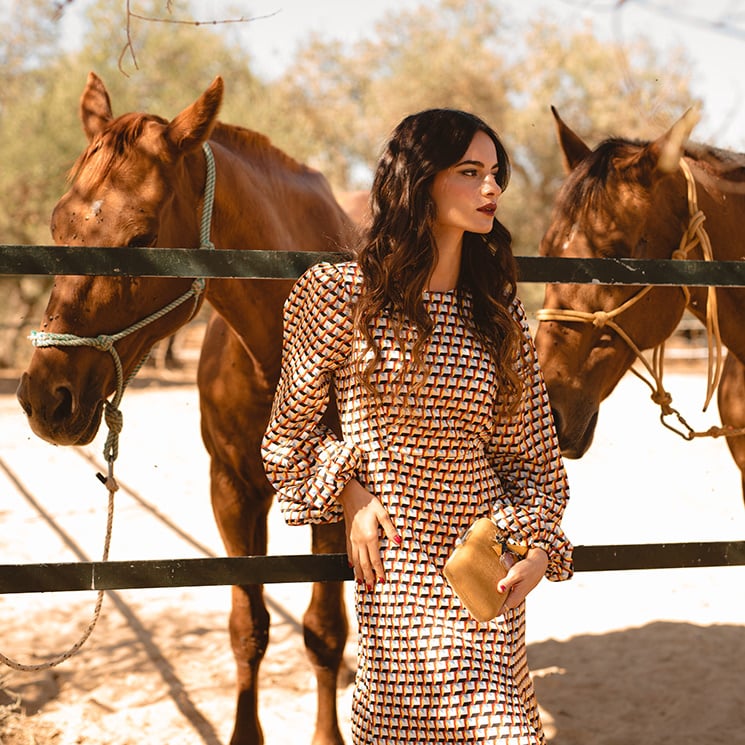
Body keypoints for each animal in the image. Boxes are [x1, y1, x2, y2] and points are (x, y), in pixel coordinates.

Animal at [14, 71, 358, 744]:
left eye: (142, 237)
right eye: (58, 223)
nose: (47, 398)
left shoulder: (336, 504)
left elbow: (324, 634)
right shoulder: (232, 491)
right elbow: (249, 629)